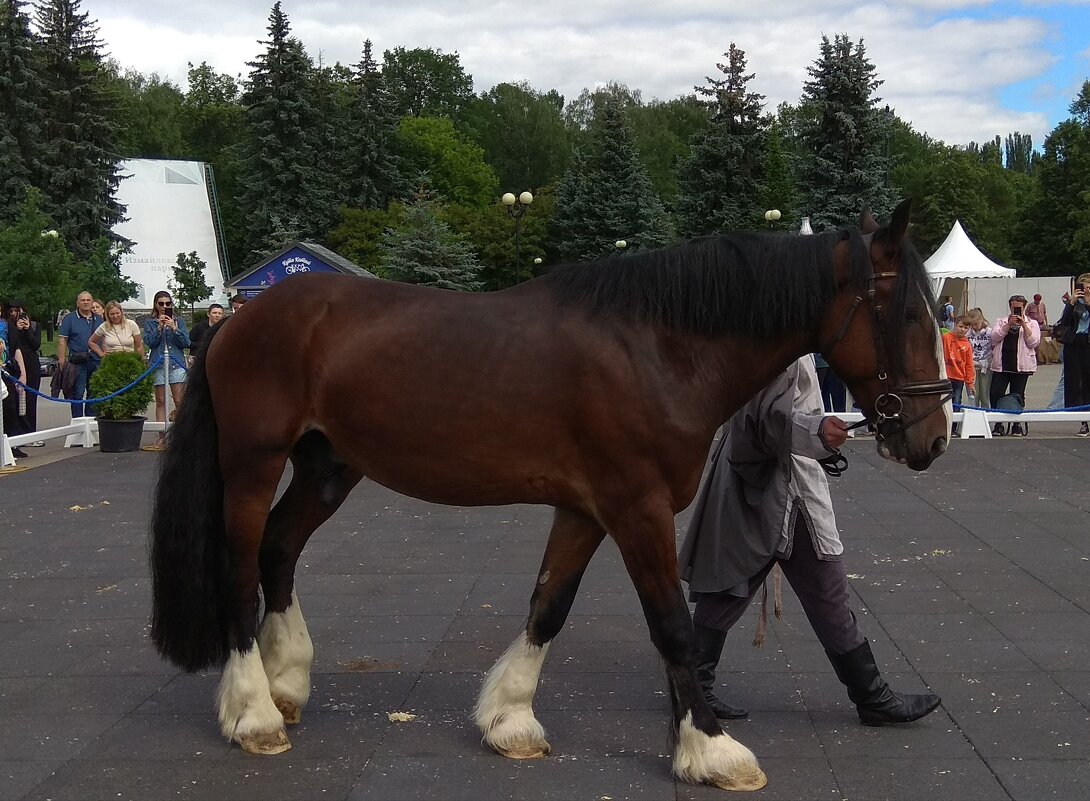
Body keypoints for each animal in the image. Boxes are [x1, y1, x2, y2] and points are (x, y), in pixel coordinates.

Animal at [149, 199, 950, 789]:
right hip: (252, 464)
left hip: (328, 468)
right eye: (910, 313)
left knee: (279, 551)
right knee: (241, 570)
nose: (932, 436)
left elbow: (548, 606)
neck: (660, 347)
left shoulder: (587, 509)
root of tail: (237, 321)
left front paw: (510, 721)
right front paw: (713, 749)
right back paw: (255, 714)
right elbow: (674, 625)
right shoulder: (637, 508)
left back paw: (286, 684)